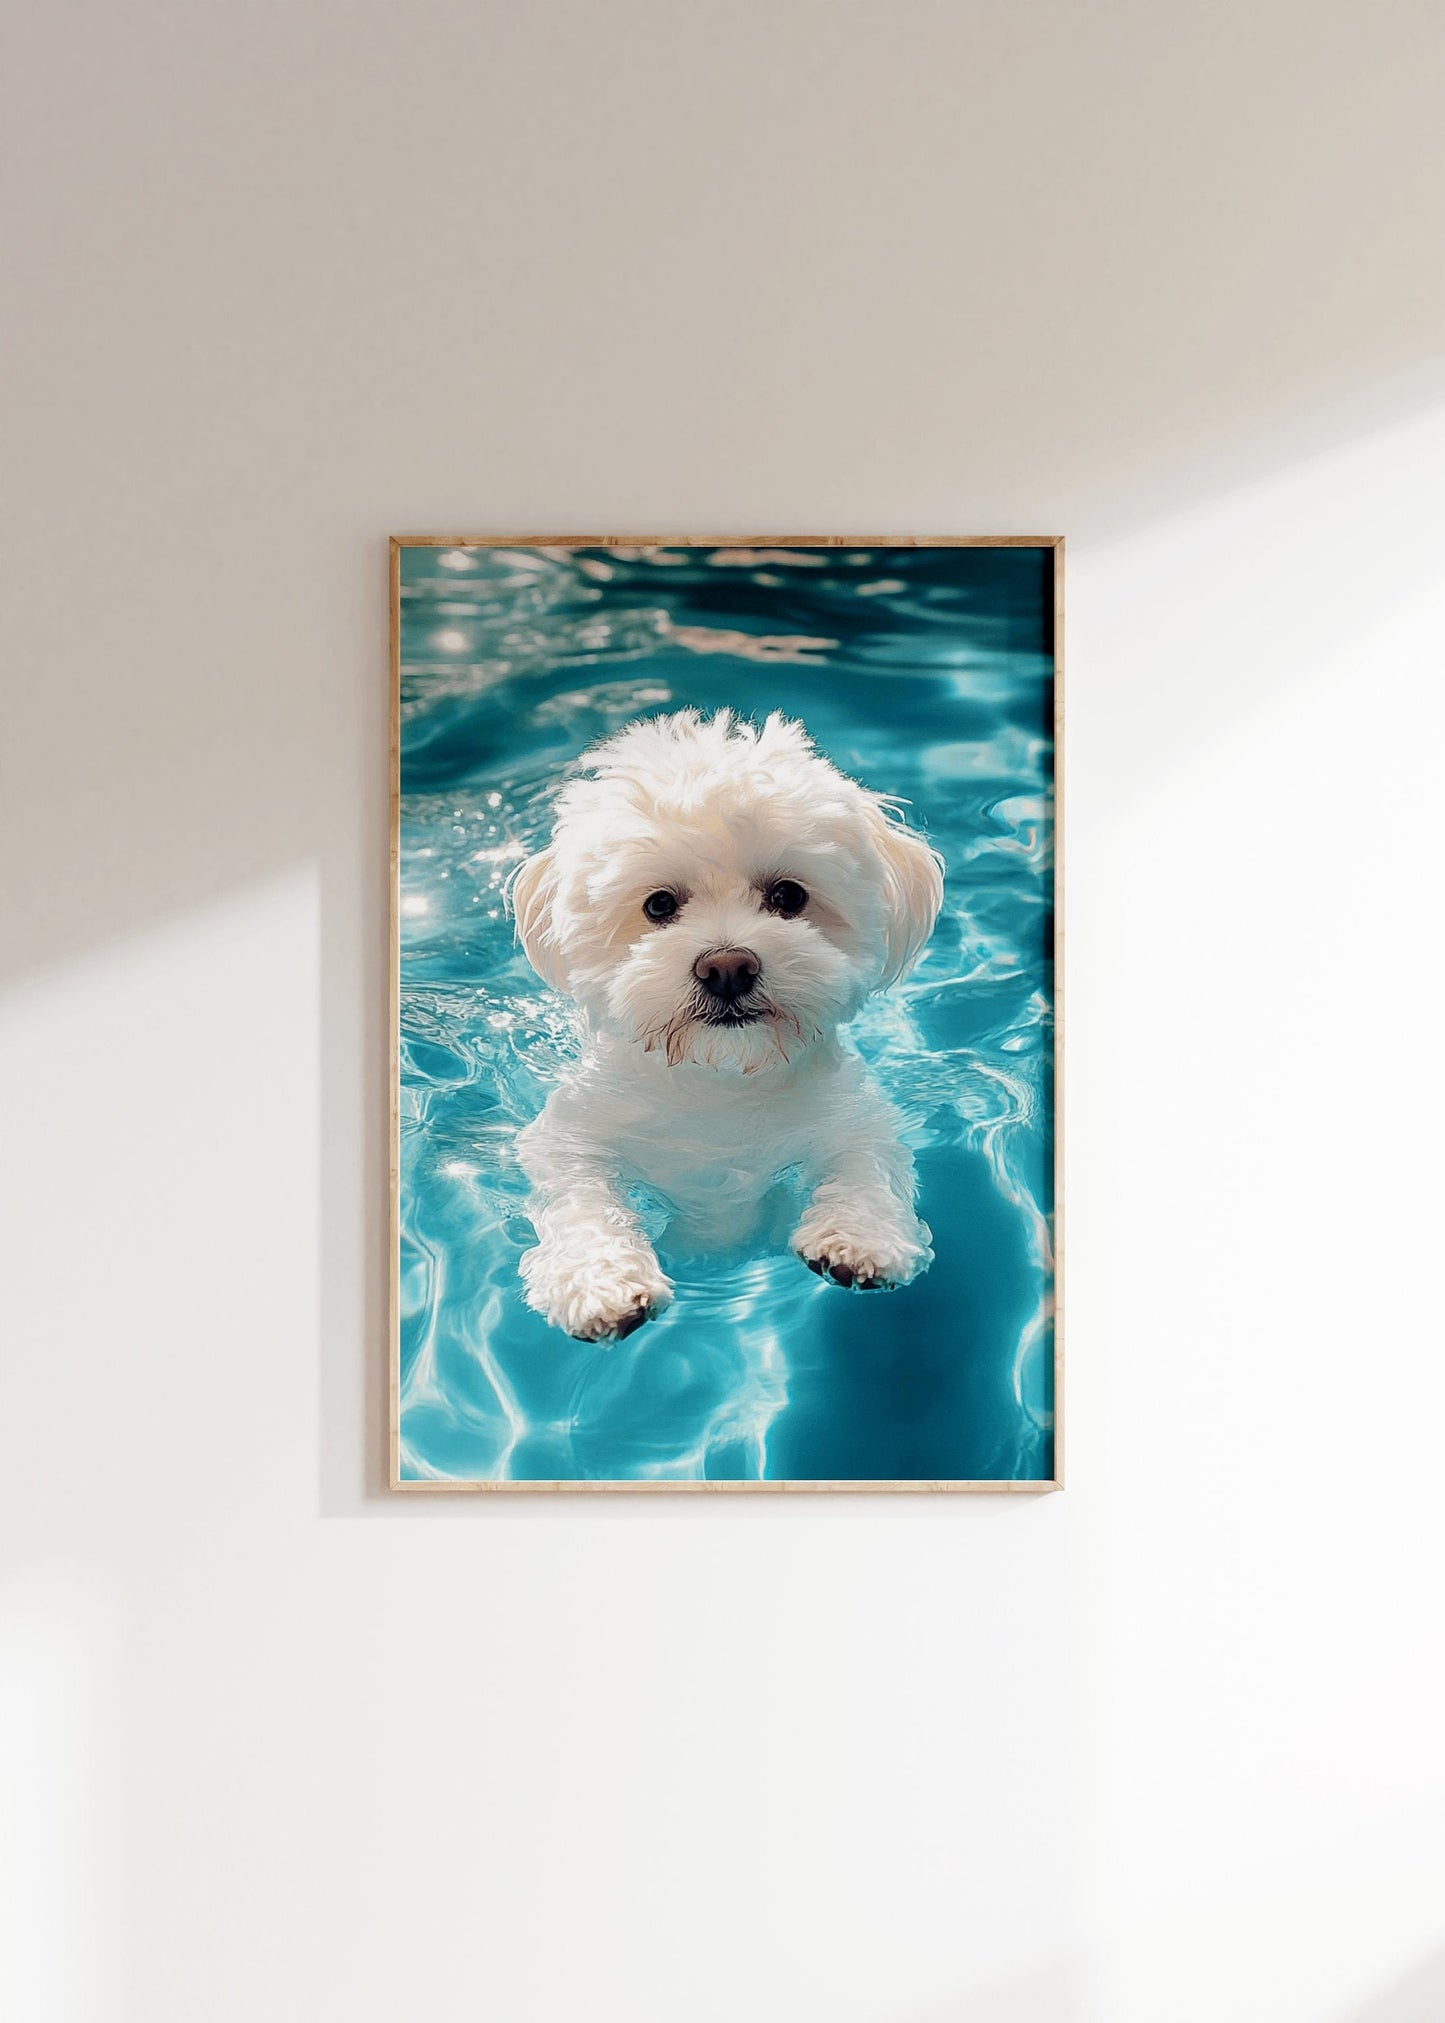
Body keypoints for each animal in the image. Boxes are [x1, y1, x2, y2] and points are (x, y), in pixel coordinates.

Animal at [509, 712, 947, 1343]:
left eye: (788, 895)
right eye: (659, 905)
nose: (727, 966)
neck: (720, 1080)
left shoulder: (853, 1117)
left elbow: (865, 1165)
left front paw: (861, 1238)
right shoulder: (571, 1135)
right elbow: (582, 1201)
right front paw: (599, 1281)